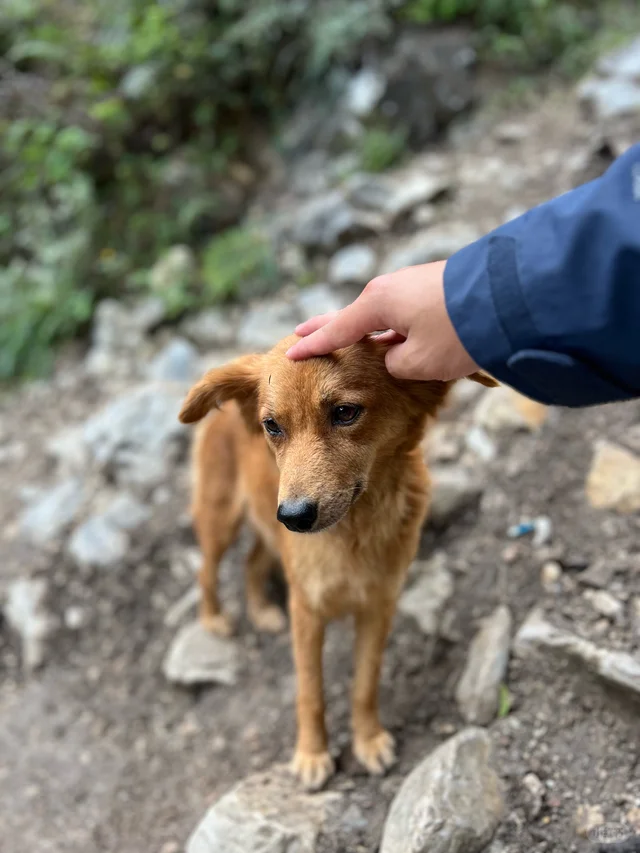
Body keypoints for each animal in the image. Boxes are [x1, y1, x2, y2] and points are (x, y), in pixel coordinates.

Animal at [179, 334, 496, 790]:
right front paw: (312, 755)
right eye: (272, 426)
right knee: (208, 569)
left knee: (253, 560)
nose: (293, 517)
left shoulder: (379, 606)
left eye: (345, 412)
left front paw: (368, 740)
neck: (354, 534)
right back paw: (214, 619)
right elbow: (311, 692)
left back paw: (261, 610)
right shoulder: (307, 611)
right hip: (222, 517)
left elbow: (364, 683)